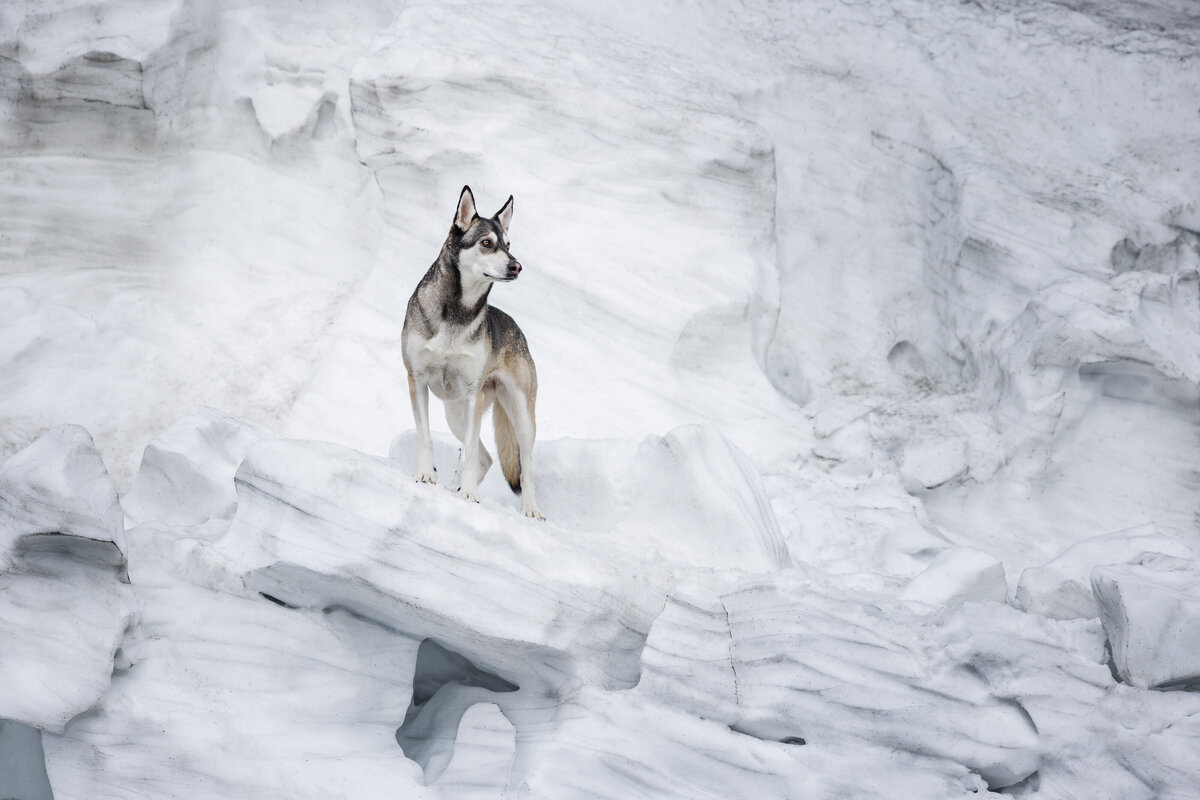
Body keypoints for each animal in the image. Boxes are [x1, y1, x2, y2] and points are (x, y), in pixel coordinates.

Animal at [400, 184, 542, 520]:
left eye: (508, 245)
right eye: (487, 243)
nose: (516, 266)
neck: (457, 313)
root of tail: (518, 330)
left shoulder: (472, 394)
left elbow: (471, 456)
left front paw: (468, 496)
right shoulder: (417, 381)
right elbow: (425, 437)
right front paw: (426, 475)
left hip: (520, 416)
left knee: (525, 468)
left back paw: (530, 510)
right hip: (456, 412)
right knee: (485, 458)